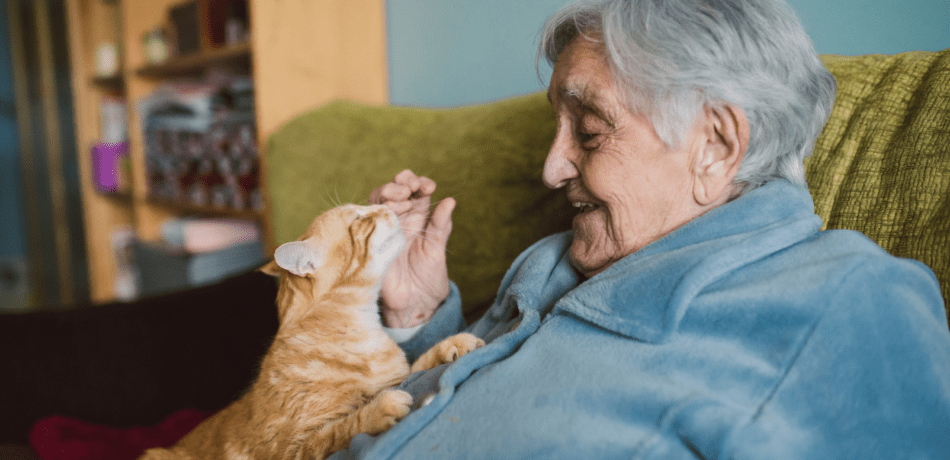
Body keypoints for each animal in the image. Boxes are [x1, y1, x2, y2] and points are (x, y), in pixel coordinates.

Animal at [141, 206, 484, 460]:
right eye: (359, 218)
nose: (387, 205)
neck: (361, 327)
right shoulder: (293, 449)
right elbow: (342, 429)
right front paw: (380, 409)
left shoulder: (398, 375)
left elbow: (419, 364)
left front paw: (452, 344)